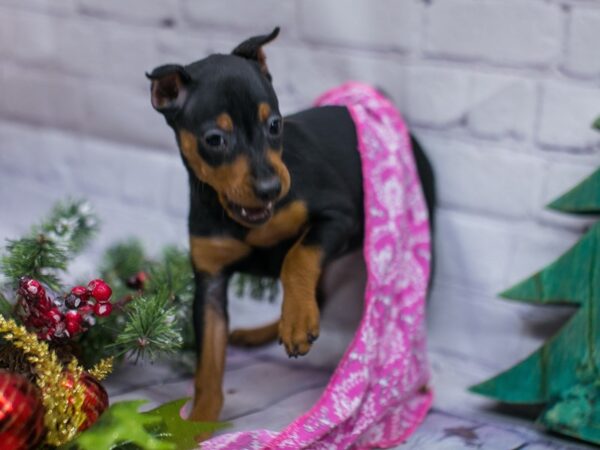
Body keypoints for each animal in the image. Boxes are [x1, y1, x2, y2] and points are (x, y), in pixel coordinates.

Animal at [148, 29, 434, 426]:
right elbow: (208, 364)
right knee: (322, 294)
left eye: (276, 125)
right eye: (214, 140)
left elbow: (296, 257)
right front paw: (200, 423)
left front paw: (297, 321)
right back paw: (262, 332)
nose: (271, 188)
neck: (242, 216)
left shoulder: (338, 216)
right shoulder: (211, 281)